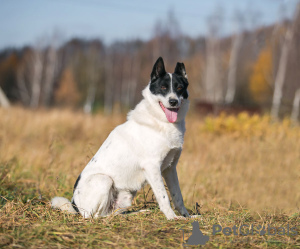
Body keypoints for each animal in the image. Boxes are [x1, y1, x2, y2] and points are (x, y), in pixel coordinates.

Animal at [50, 56, 189, 220]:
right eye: (163, 88)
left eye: (179, 88)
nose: (173, 101)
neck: (162, 122)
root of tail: (75, 206)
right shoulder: (152, 167)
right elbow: (164, 197)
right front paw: (172, 218)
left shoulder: (170, 169)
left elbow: (177, 195)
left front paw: (188, 217)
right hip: (104, 180)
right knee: (96, 216)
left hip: (126, 194)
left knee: (115, 212)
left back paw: (137, 212)